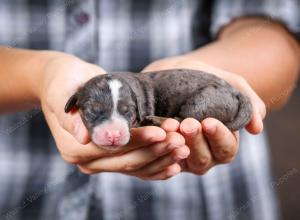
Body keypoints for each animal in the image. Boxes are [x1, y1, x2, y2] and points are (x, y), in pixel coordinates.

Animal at [64, 69, 252, 150]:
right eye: (92, 111)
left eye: (128, 112)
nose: (113, 135)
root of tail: (236, 92)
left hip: (202, 101)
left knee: (183, 118)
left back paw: (156, 120)